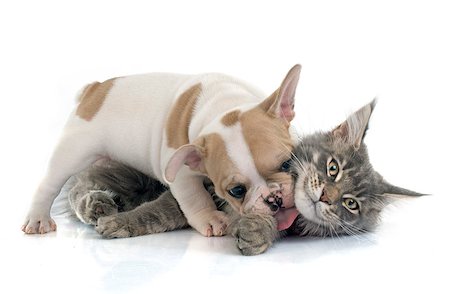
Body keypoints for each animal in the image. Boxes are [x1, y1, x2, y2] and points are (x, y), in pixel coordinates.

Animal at [22, 64, 302, 237]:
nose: (274, 199)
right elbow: (194, 197)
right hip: (74, 150)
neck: (222, 104)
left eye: (287, 163)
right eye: (236, 191)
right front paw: (209, 218)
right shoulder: (181, 173)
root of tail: (94, 89)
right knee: (50, 183)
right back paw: (38, 219)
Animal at [67, 99, 422, 255]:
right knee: (80, 183)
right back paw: (96, 206)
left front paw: (256, 233)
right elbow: (158, 211)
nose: (325, 197)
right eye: (333, 168)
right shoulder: (200, 186)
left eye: (351, 204)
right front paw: (119, 223)